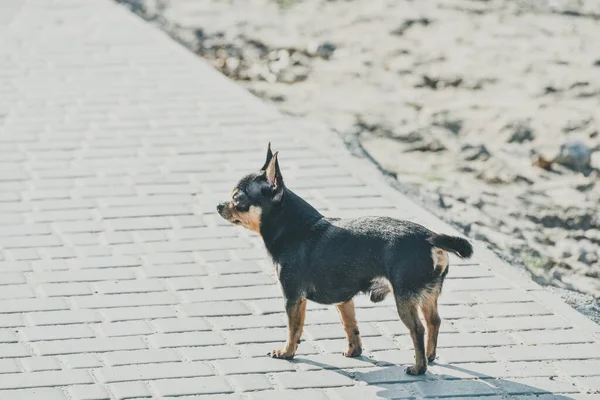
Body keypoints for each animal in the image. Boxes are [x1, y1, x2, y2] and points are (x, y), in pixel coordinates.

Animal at [217, 144, 474, 376]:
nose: (219, 205)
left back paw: (419, 367)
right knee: (434, 321)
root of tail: (429, 237)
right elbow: (350, 325)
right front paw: (354, 351)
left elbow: (294, 328)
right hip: (428, 294)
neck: (293, 227)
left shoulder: (293, 298)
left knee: (418, 329)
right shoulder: (344, 300)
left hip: (404, 297)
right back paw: (430, 356)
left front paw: (287, 352)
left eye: (237, 199)